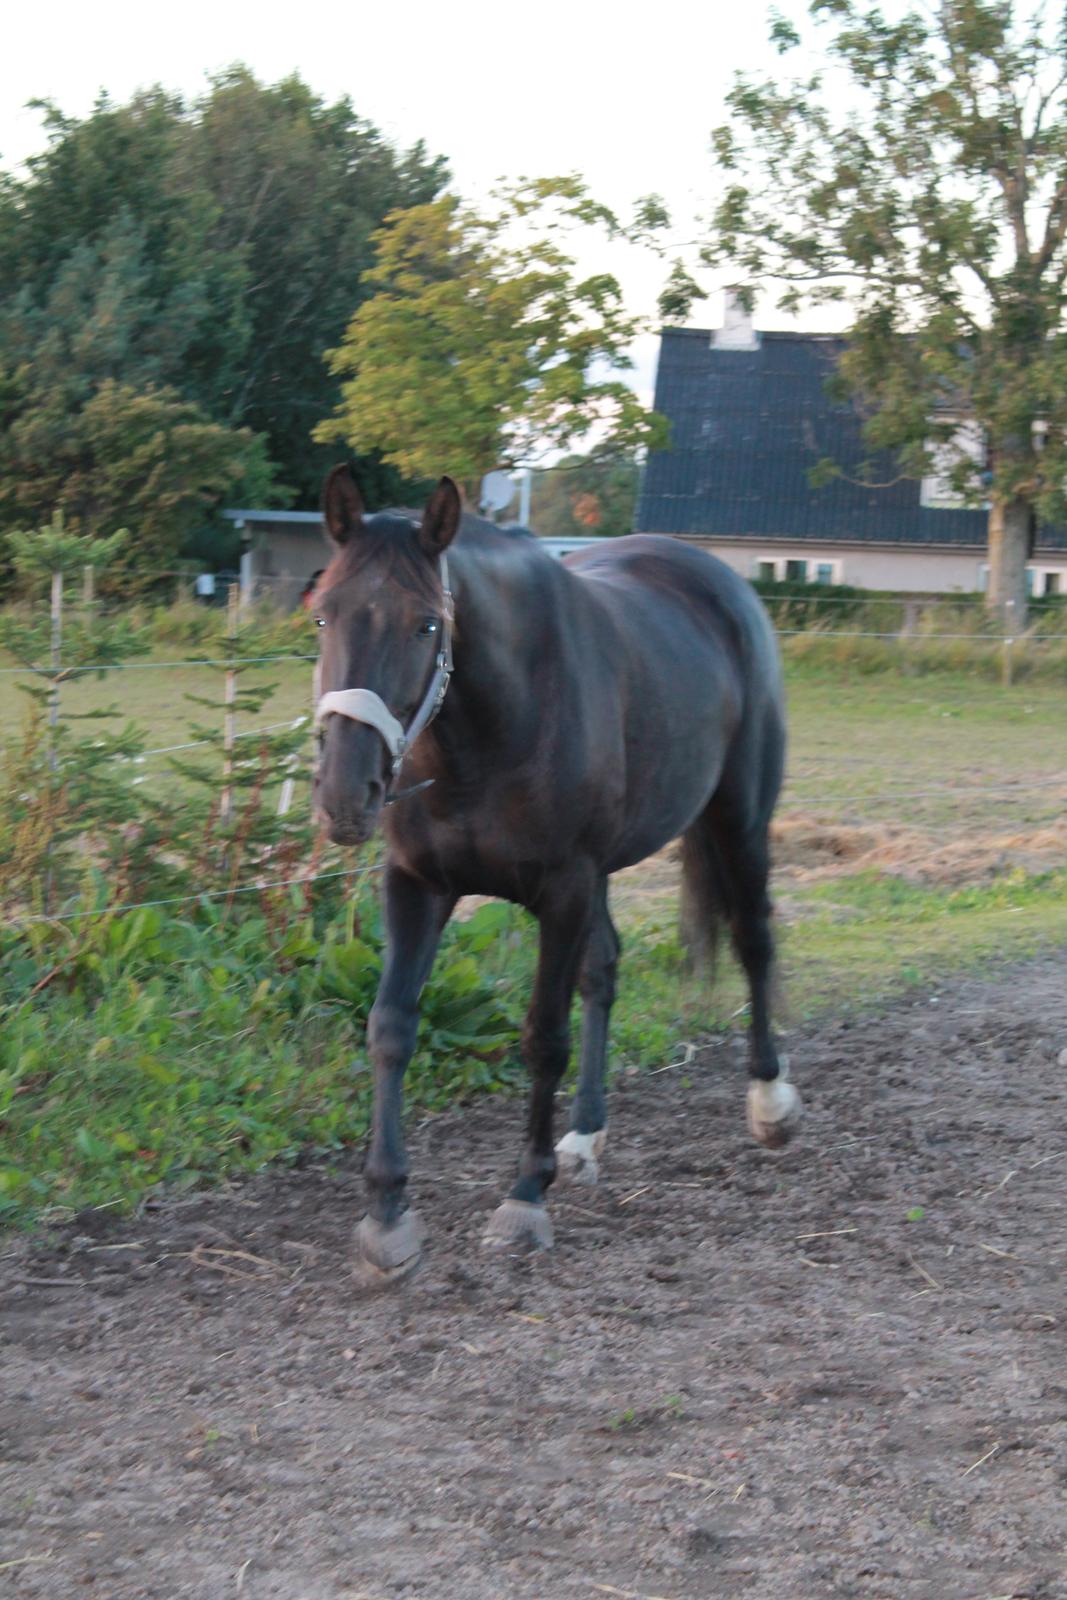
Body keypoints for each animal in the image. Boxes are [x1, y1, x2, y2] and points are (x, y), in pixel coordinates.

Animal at [313, 460, 796, 1273]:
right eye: (321, 614)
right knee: (605, 970)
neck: (491, 731)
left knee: (753, 939)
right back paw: (585, 1134)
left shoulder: (562, 889)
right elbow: (390, 1028)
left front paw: (523, 1195)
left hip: (738, 821)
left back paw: (769, 1100)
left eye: (427, 624)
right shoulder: (418, 885)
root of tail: (722, 583)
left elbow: (543, 1036)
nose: (346, 793)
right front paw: (387, 1211)